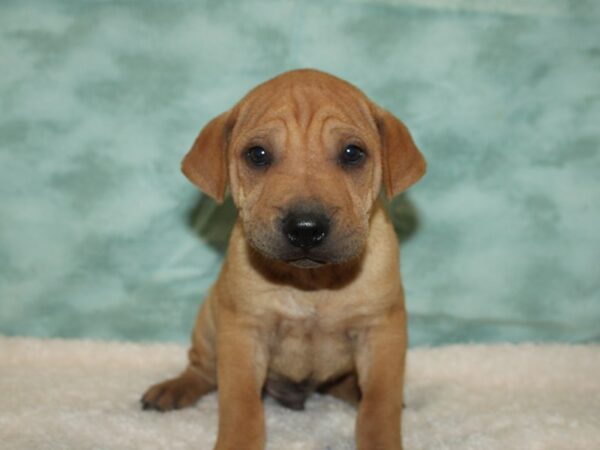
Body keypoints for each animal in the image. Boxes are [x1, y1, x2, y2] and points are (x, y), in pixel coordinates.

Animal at [142, 67, 426, 450]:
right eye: (257, 154)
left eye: (353, 153)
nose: (305, 228)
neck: (311, 283)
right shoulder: (243, 333)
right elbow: (241, 405)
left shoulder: (382, 332)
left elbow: (379, 407)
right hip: (209, 323)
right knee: (201, 368)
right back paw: (175, 388)